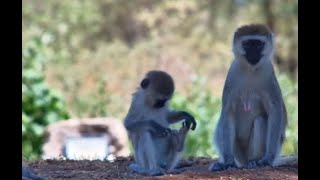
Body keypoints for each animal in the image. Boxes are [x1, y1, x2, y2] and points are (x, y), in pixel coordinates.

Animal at [209, 24, 296, 172]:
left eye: (258, 44)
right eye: (248, 44)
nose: (253, 54)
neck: (251, 70)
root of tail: (244, 161)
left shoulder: (268, 74)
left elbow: (275, 111)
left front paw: (268, 158)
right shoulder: (232, 73)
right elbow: (228, 111)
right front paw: (228, 161)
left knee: (260, 120)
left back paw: (254, 160)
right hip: (238, 151)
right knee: (221, 124)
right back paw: (225, 162)